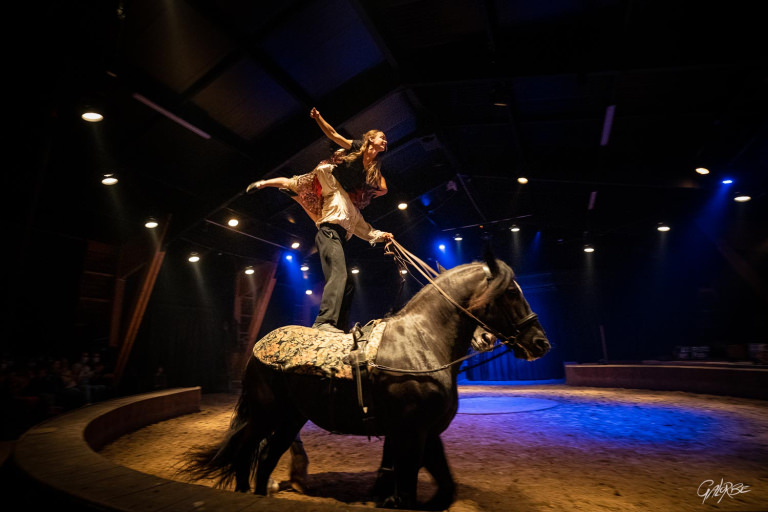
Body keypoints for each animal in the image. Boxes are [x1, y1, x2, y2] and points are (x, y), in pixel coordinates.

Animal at [183, 256, 548, 508]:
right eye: (511, 292)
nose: (540, 342)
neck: (420, 343)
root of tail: (259, 346)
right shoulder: (412, 433)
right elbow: (407, 488)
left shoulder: (425, 433)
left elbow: (442, 487)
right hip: (264, 416)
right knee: (245, 456)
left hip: (290, 419)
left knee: (265, 461)